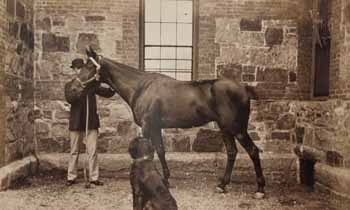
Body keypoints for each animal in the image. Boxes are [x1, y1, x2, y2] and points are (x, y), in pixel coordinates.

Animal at [67, 47, 266, 199]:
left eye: (90, 66)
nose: (72, 88)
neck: (141, 87)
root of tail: (243, 87)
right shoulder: (156, 127)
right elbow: (161, 151)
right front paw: (166, 180)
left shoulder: (147, 127)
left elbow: (149, 152)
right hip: (225, 128)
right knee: (232, 152)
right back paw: (222, 185)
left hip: (237, 128)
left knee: (253, 151)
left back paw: (260, 189)